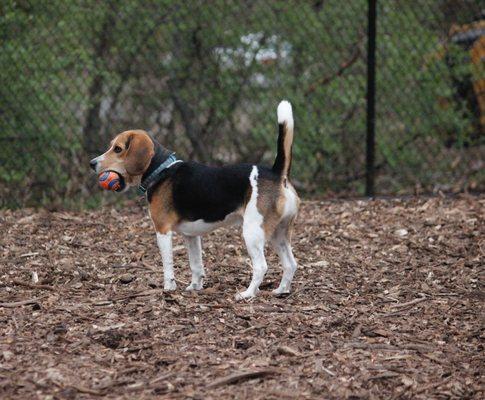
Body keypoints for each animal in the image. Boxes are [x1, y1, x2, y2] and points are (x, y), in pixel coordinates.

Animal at [89, 101, 296, 298]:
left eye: (118, 149)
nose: (92, 163)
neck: (161, 170)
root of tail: (276, 173)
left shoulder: (162, 231)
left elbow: (167, 265)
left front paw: (168, 288)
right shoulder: (191, 236)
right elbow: (196, 265)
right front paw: (195, 287)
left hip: (253, 232)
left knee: (261, 266)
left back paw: (247, 294)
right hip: (279, 233)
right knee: (291, 264)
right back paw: (281, 290)